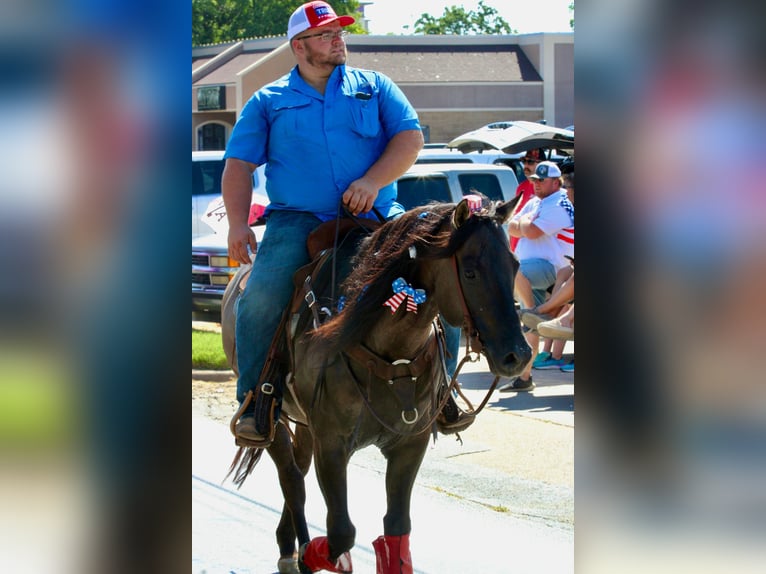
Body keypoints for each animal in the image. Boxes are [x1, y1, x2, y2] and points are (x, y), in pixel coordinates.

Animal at [219, 198, 532, 574]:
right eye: (470, 271)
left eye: (515, 266)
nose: (518, 355)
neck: (389, 353)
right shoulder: (332, 444)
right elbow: (342, 531)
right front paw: (318, 555)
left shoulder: (409, 445)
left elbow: (397, 529)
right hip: (274, 418)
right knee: (292, 479)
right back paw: (297, 548)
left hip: (306, 424)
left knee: (299, 466)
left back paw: (287, 541)